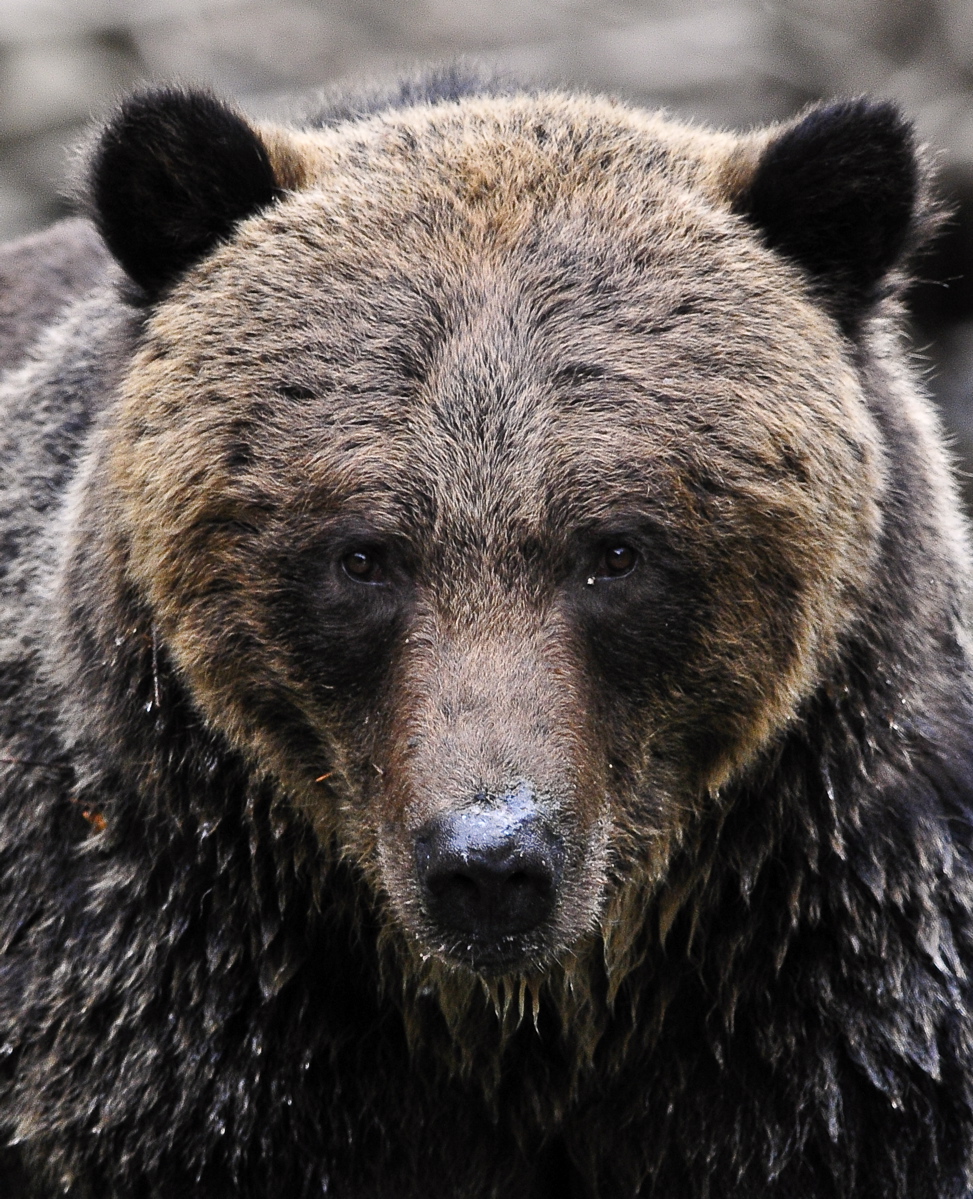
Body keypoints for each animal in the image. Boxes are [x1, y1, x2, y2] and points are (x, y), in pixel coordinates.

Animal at [1, 62, 972, 1198]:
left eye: (615, 549)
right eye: (362, 554)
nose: (491, 862)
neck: (521, 1022)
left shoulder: (852, 1000)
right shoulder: (172, 1016)